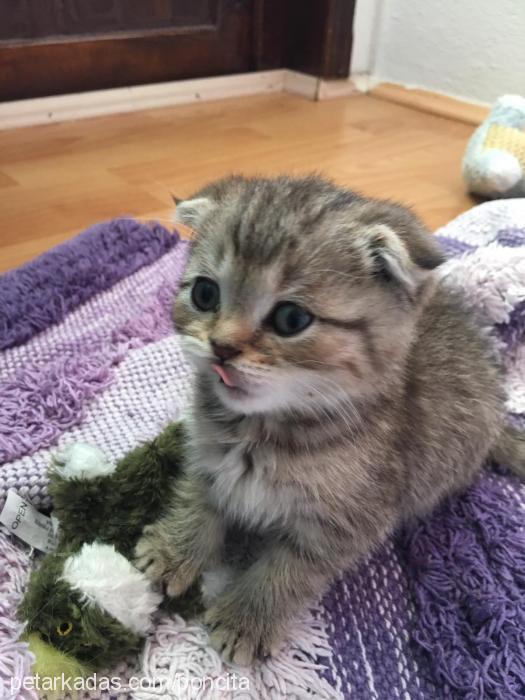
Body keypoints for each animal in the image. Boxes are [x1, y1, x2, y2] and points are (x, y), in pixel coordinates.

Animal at [134, 175, 520, 668]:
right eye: (204, 294)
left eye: (291, 318)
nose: (221, 347)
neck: (260, 430)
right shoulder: (206, 458)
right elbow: (197, 499)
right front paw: (175, 549)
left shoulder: (348, 522)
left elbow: (289, 569)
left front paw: (249, 616)